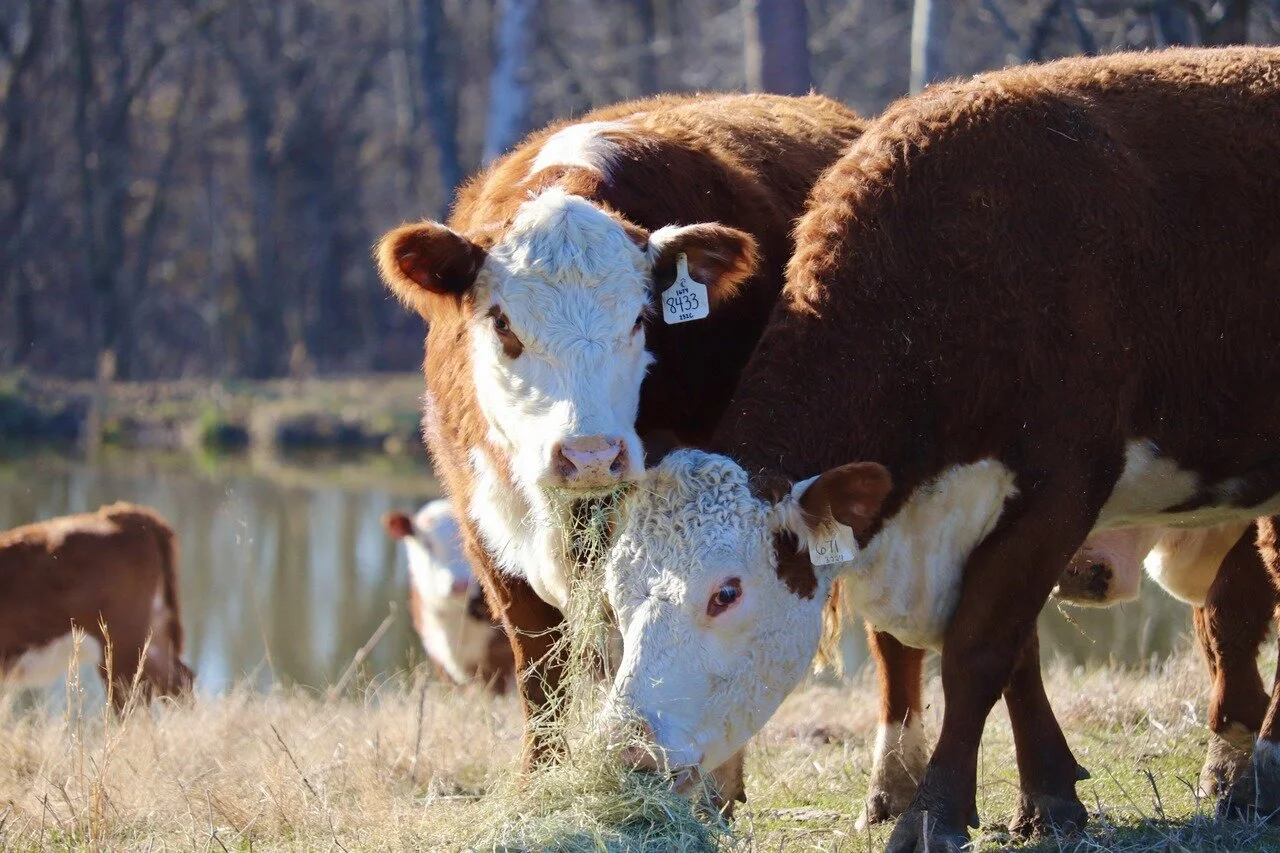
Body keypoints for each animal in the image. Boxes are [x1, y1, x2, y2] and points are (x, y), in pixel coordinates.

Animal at [598, 47, 1280, 850]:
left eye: (725, 592)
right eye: (617, 589)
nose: (629, 752)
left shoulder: (1062, 484)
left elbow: (980, 647)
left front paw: (935, 809)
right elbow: (1015, 653)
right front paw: (1049, 798)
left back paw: (1260, 774)